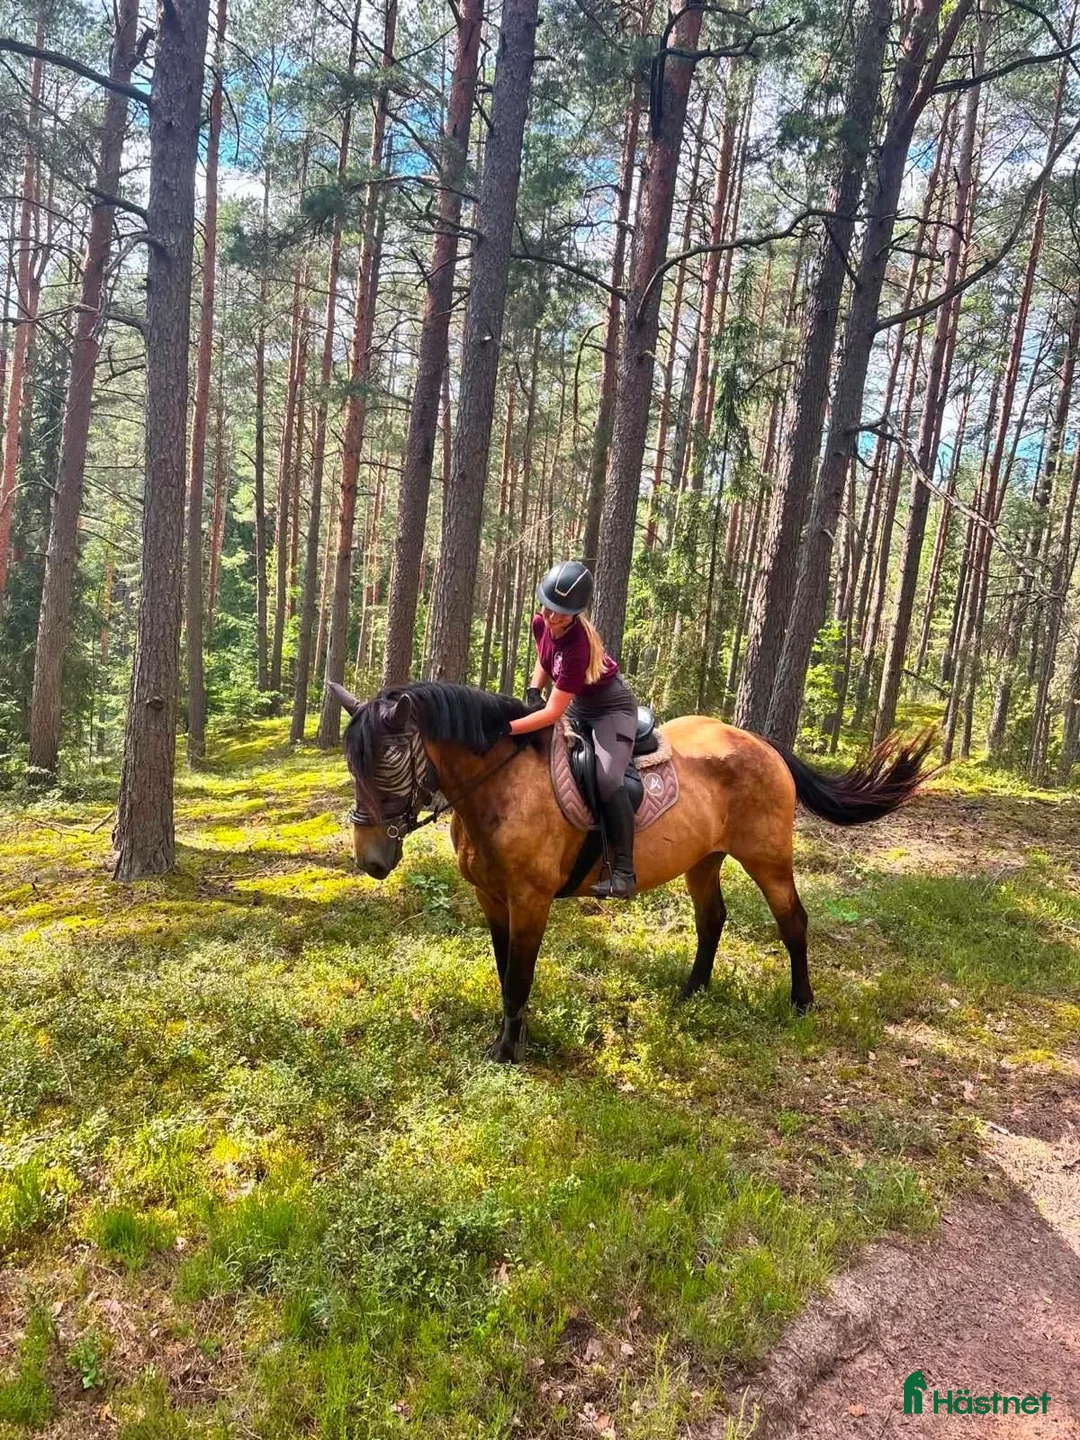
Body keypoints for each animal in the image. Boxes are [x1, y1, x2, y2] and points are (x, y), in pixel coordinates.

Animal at [328, 679, 933, 1063]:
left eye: (387, 763)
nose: (371, 860)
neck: (501, 786)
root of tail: (762, 743)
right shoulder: (492, 898)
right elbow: (505, 972)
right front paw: (513, 1036)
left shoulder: (530, 900)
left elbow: (520, 975)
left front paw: (506, 1052)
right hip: (703, 860)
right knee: (713, 919)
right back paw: (692, 991)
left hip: (769, 859)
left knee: (793, 922)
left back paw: (801, 1003)